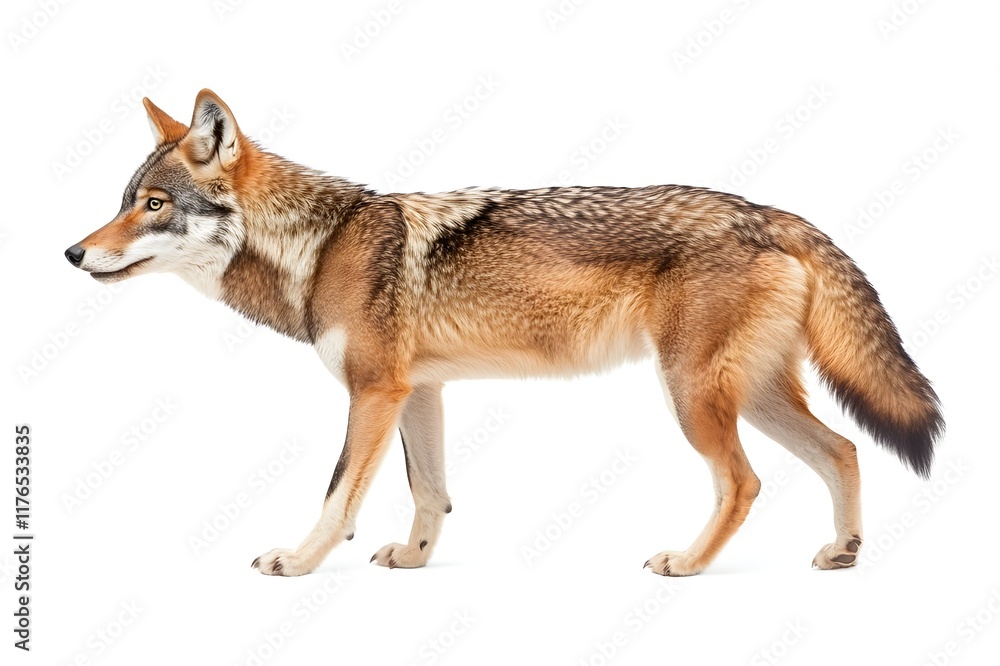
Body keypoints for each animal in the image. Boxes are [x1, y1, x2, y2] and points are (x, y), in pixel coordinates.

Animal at [65, 90, 943, 577]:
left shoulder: (372, 393)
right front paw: (415, 562)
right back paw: (842, 553)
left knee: (747, 483)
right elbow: (430, 493)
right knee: (845, 449)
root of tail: (770, 211)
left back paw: (688, 564)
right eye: (122, 200)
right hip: (749, 394)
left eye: (153, 205)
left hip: (695, 397)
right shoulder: (418, 392)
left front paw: (299, 561)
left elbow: (338, 495)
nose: (72, 253)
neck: (321, 244)